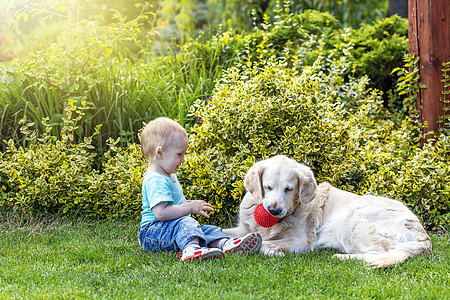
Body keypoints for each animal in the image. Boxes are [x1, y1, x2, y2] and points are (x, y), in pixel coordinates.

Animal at [225, 155, 432, 268]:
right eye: (267, 187)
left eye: (289, 189)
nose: (274, 211)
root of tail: (424, 238)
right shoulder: (242, 229)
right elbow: (227, 232)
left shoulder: (303, 241)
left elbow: (266, 243)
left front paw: (274, 252)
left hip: (354, 220)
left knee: (377, 253)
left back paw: (342, 257)